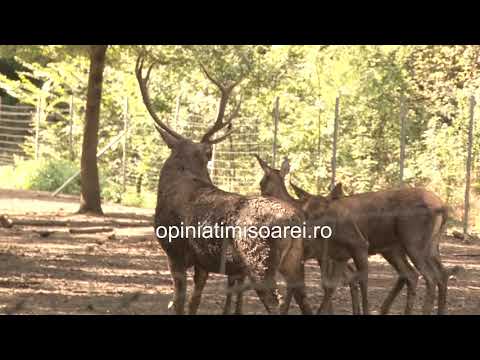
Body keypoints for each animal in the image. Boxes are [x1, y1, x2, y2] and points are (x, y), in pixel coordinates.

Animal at [136, 53, 316, 316]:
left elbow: (179, 302)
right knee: (305, 302)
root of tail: (295, 220)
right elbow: (194, 302)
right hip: (295, 263)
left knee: (274, 302)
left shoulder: (174, 251)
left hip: (259, 262)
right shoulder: (203, 263)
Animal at [290, 181, 460, 314]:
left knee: (430, 276)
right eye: (305, 212)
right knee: (429, 273)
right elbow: (330, 286)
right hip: (416, 247)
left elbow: (362, 280)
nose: (307, 233)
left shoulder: (359, 245)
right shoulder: (337, 256)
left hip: (414, 243)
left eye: (323, 213)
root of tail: (443, 207)